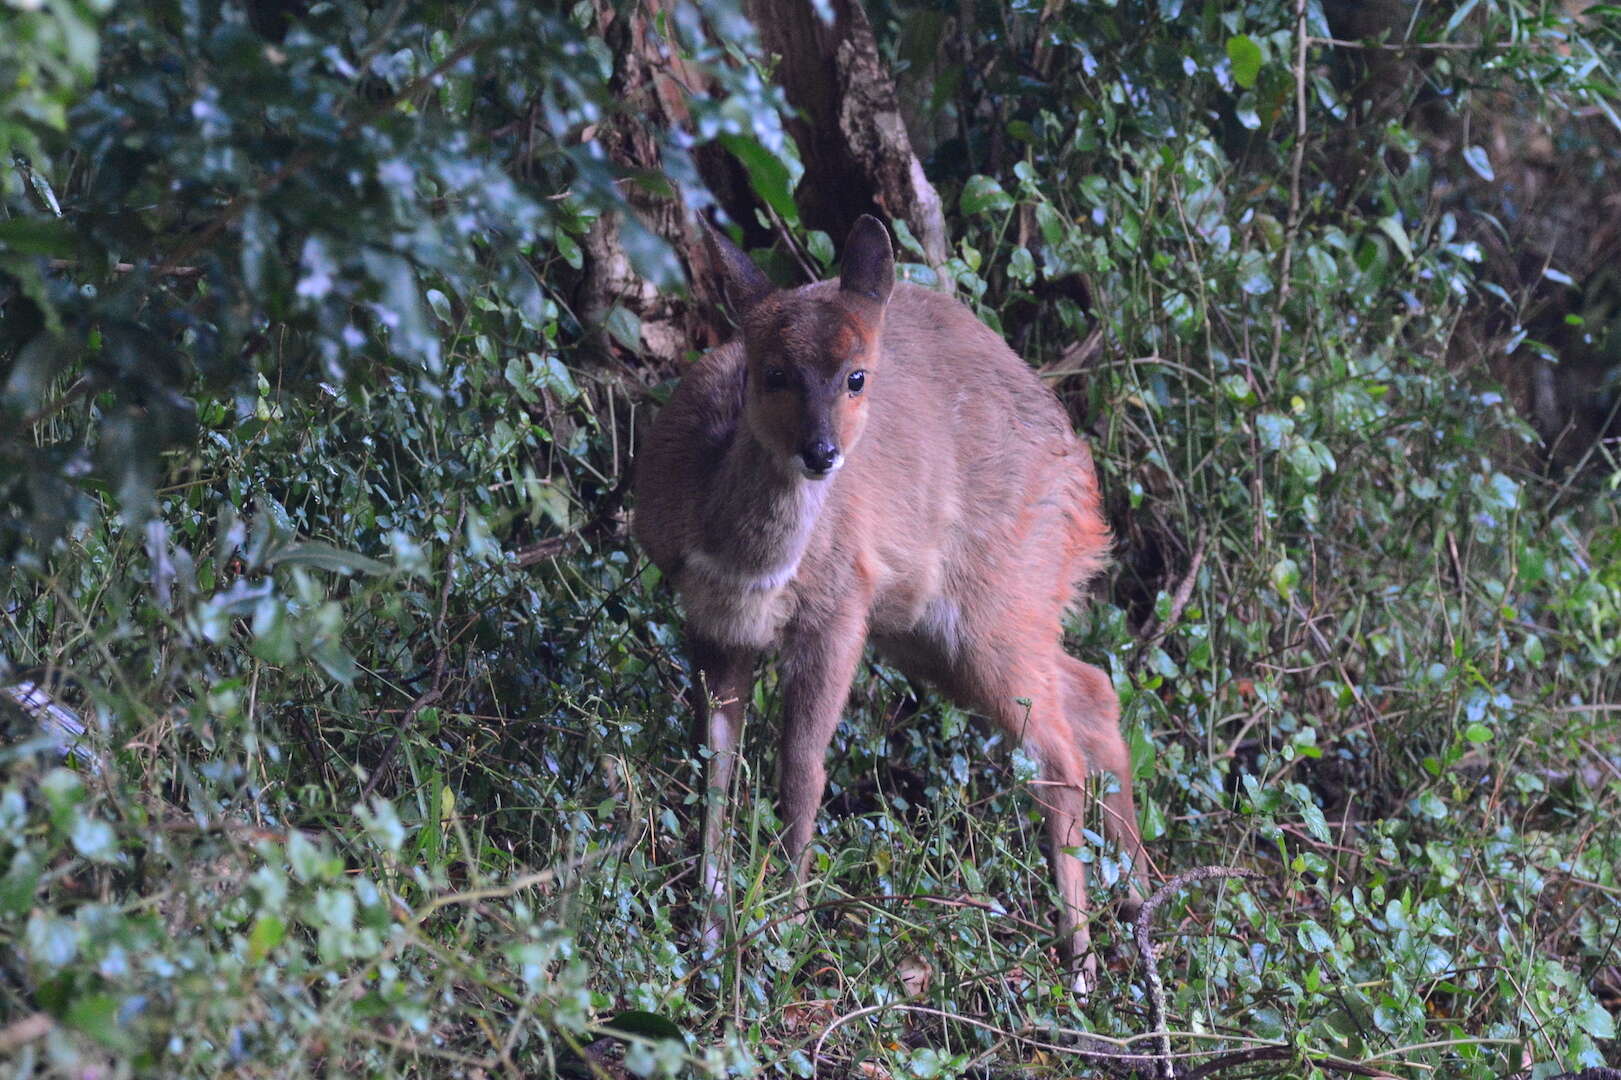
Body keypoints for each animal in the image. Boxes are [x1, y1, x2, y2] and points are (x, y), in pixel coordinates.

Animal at [632, 210, 1154, 985]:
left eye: (856, 376)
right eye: (772, 372)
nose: (821, 453)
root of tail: (1083, 486)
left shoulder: (841, 611)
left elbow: (801, 768)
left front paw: (786, 933)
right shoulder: (713, 625)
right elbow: (717, 768)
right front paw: (707, 929)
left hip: (995, 604)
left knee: (1058, 753)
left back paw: (1081, 964)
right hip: (936, 632)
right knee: (1093, 690)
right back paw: (1141, 911)